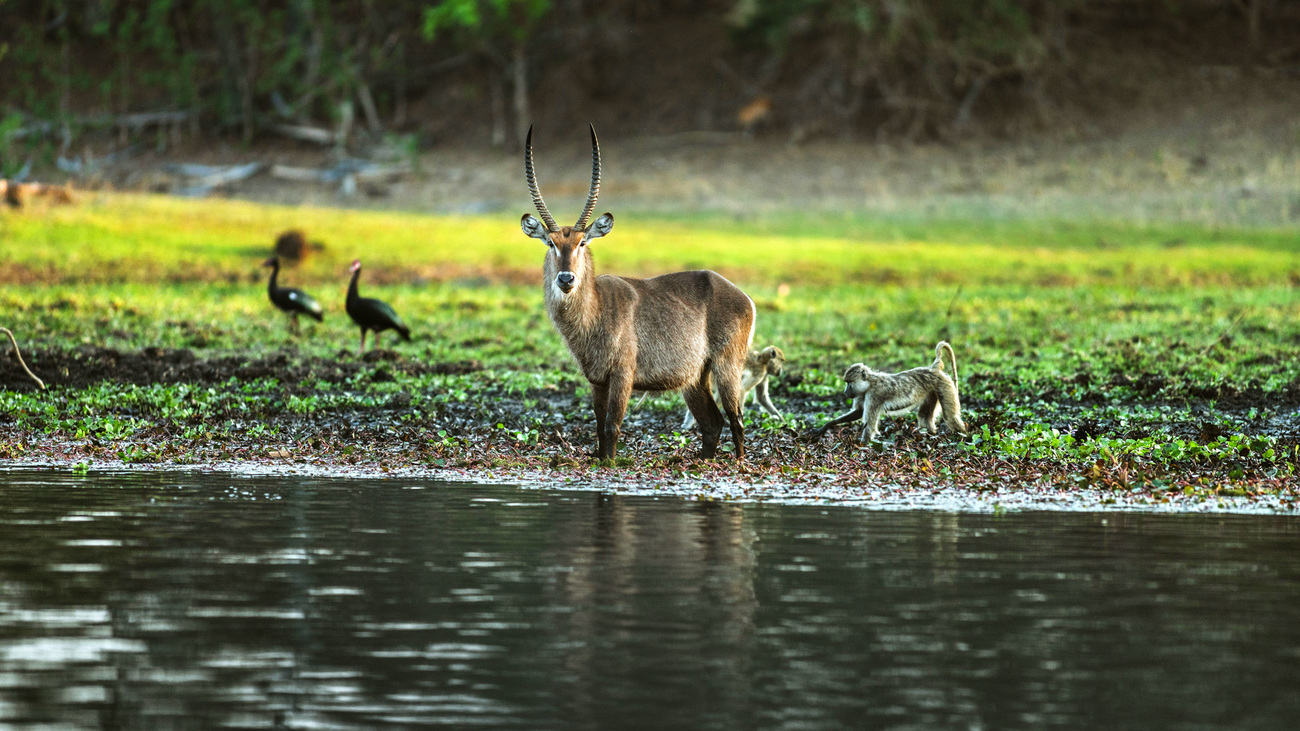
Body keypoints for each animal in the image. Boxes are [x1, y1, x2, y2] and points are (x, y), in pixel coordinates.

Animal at [800, 343, 967, 444]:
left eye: (848, 383)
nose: (845, 392)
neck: (869, 383)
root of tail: (934, 369)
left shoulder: (874, 395)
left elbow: (870, 426)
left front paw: (861, 445)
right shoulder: (863, 394)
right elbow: (858, 412)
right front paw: (827, 426)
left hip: (945, 386)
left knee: (950, 417)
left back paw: (965, 436)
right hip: (932, 392)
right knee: (925, 417)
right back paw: (931, 435)